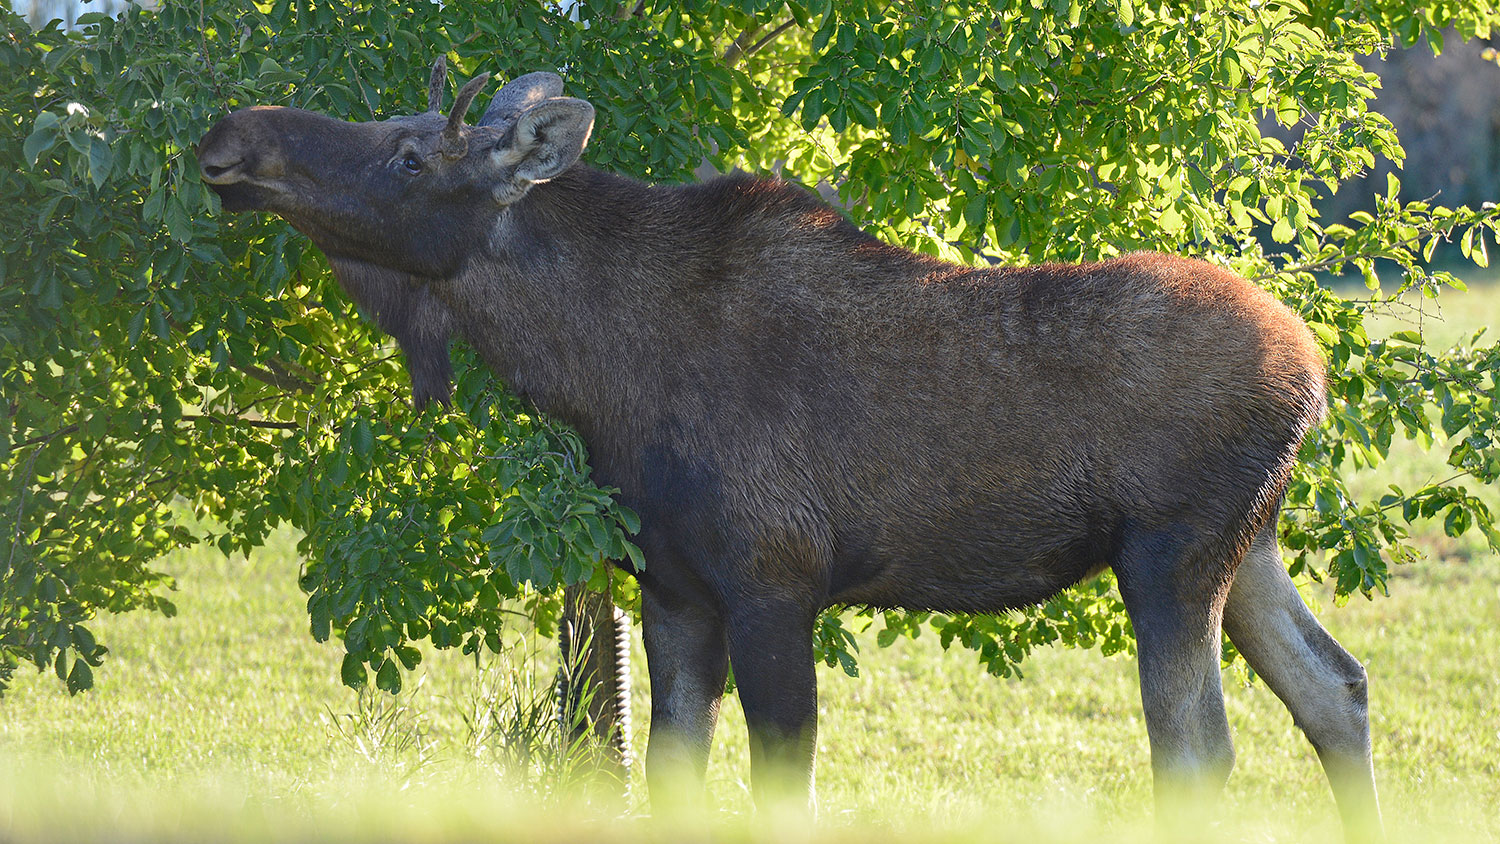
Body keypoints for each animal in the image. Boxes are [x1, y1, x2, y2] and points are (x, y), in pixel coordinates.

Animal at [199, 61, 1380, 839]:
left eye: (407, 152)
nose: (227, 136)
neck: (593, 376)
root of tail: (1315, 374)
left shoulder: (773, 578)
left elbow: (781, 778)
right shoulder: (673, 590)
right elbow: (670, 773)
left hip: (1173, 552)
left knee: (1199, 748)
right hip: (1251, 544)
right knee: (1337, 689)